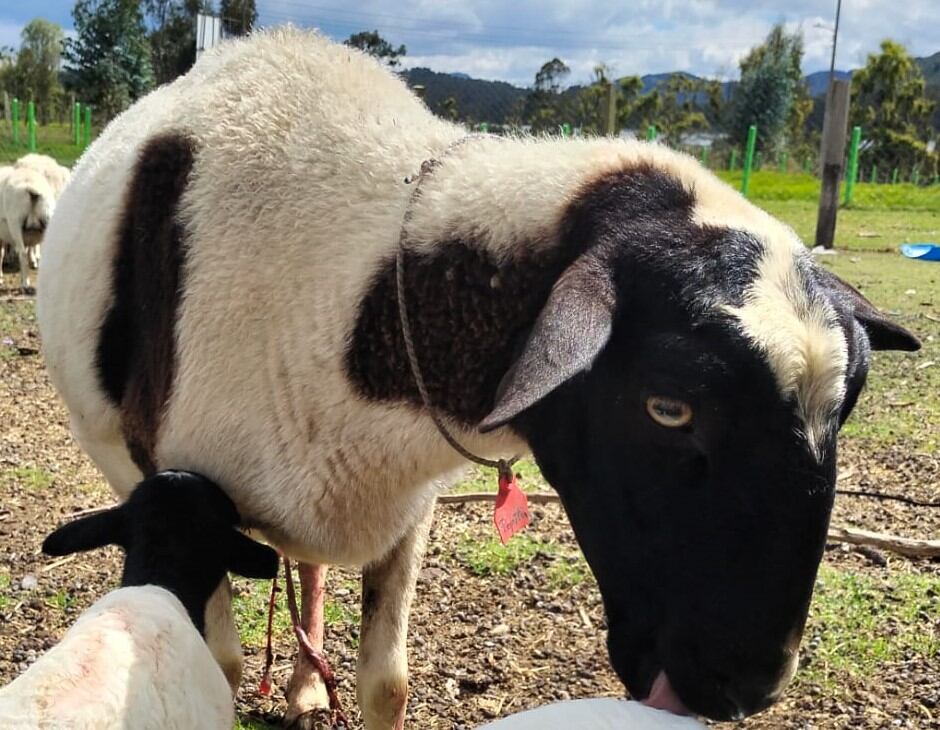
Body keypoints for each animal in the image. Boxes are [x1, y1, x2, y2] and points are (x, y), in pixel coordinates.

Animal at [36, 27, 920, 729]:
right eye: (668, 407)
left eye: (849, 407)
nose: (746, 688)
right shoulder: (181, 487)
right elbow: (213, 667)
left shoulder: (403, 504)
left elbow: (386, 684)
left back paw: (307, 686)